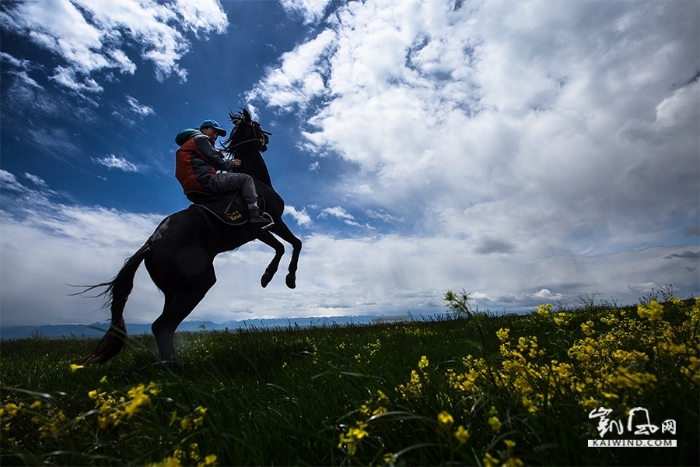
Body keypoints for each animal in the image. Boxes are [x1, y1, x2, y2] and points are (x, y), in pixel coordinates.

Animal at [78, 111, 302, 368]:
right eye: (256, 125)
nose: (267, 139)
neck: (256, 179)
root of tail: (150, 244)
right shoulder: (272, 222)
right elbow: (294, 244)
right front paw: (287, 278)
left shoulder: (260, 231)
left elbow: (281, 247)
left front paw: (267, 276)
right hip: (198, 284)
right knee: (162, 325)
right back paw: (175, 369)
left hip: (174, 291)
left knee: (164, 326)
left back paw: (170, 367)